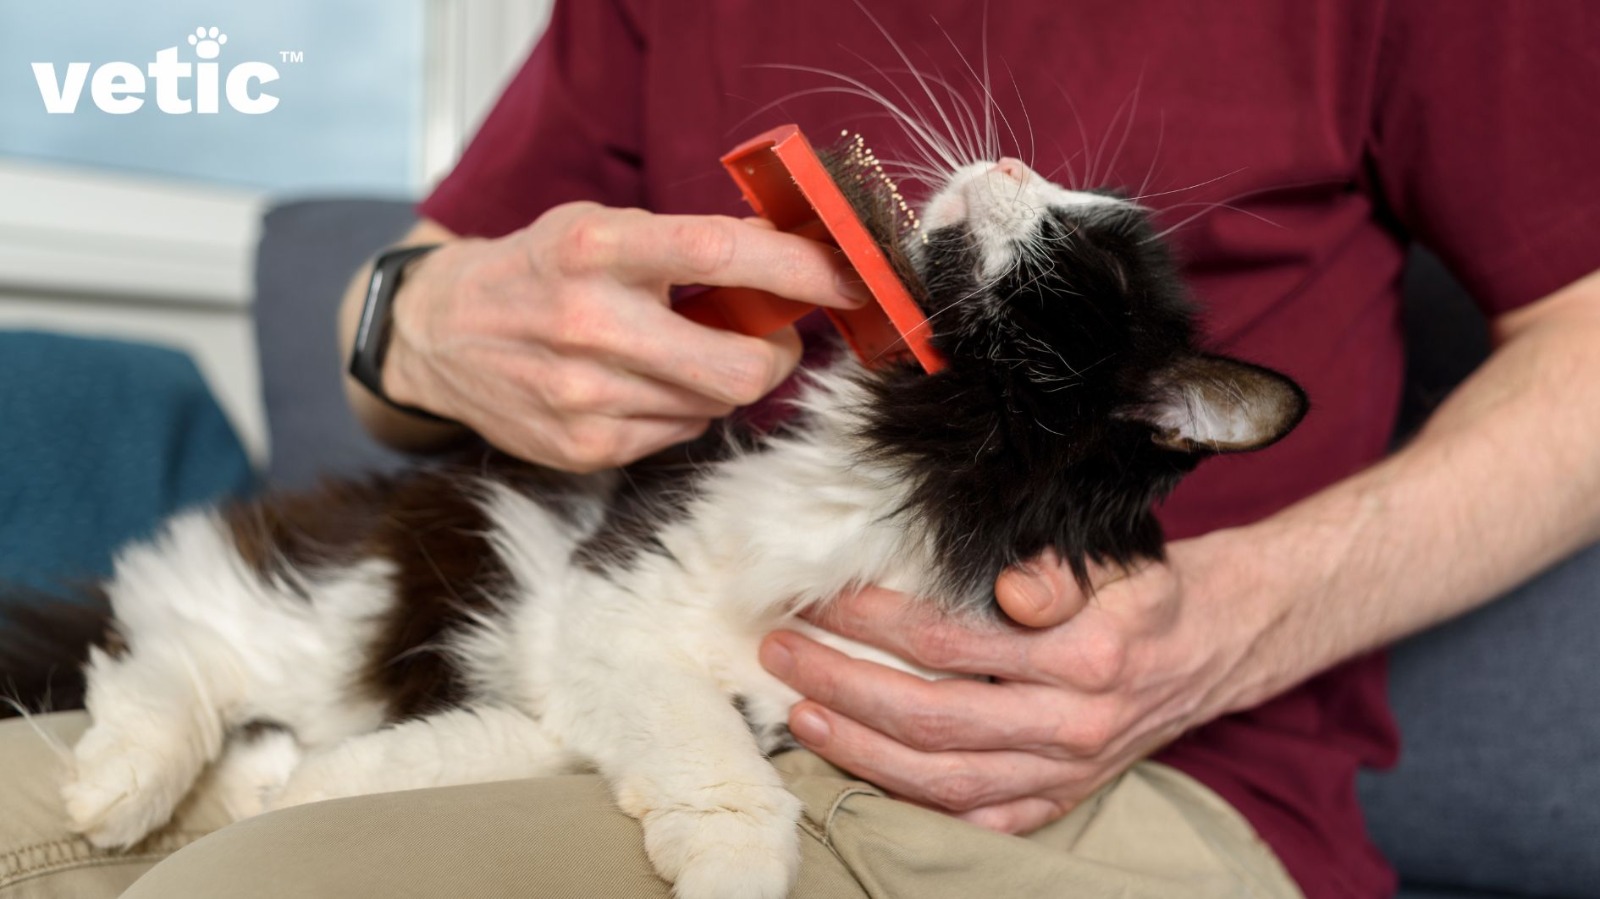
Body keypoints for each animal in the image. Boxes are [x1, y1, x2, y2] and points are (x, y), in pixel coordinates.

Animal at [3, 150, 1299, 889]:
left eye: (1081, 253)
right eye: (1072, 218)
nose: (1017, 159)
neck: (916, 475)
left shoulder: (699, 683)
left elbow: (533, 746)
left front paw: (317, 793)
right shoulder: (621, 586)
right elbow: (718, 766)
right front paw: (735, 866)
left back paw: (232, 786)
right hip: (364, 595)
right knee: (175, 622)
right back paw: (125, 785)